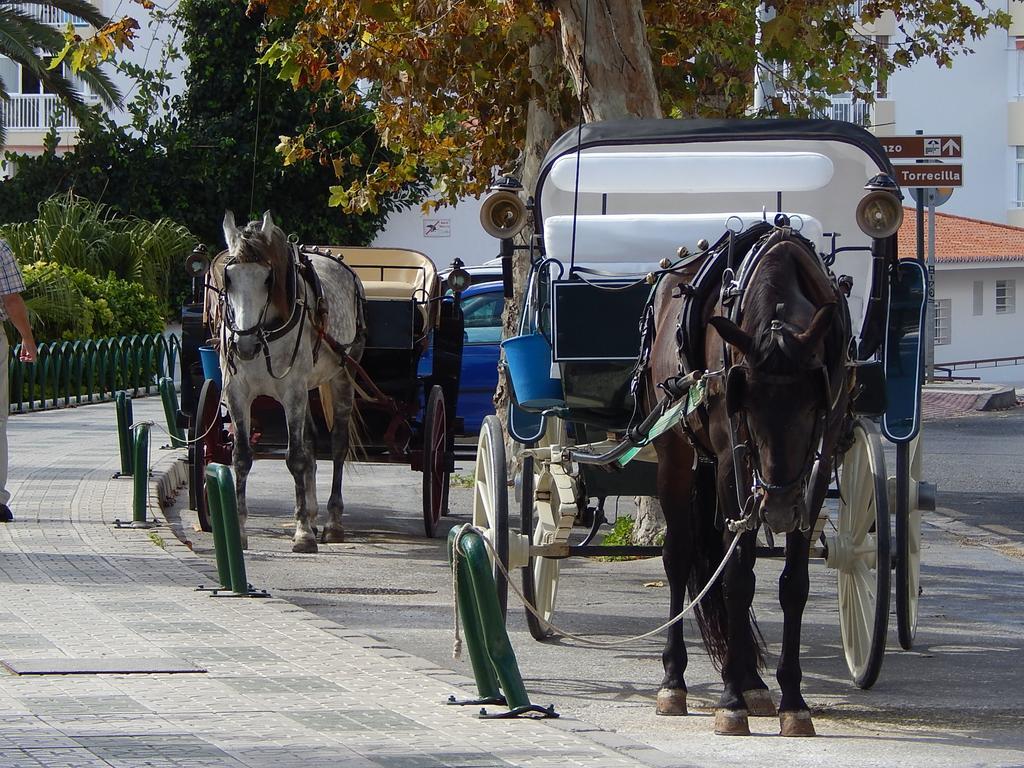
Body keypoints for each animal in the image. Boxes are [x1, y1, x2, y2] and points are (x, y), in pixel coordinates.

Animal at [214, 211, 366, 552]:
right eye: (228, 278)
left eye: (268, 279)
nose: (244, 345)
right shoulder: (237, 393)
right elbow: (242, 457)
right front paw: (239, 529)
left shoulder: (292, 392)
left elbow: (295, 457)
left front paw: (303, 533)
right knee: (310, 442)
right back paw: (311, 512)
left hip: (342, 376)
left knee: (337, 445)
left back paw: (332, 522)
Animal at [647, 225, 847, 737]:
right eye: (747, 406)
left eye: (812, 405)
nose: (776, 510)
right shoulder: (728, 461)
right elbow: (737, 577)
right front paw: (730, 701)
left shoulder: (814, 473)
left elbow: (793, 584)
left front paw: (792, 701)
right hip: (676, 455)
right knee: (680, 558)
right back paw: (675, 680)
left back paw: (754, 683)